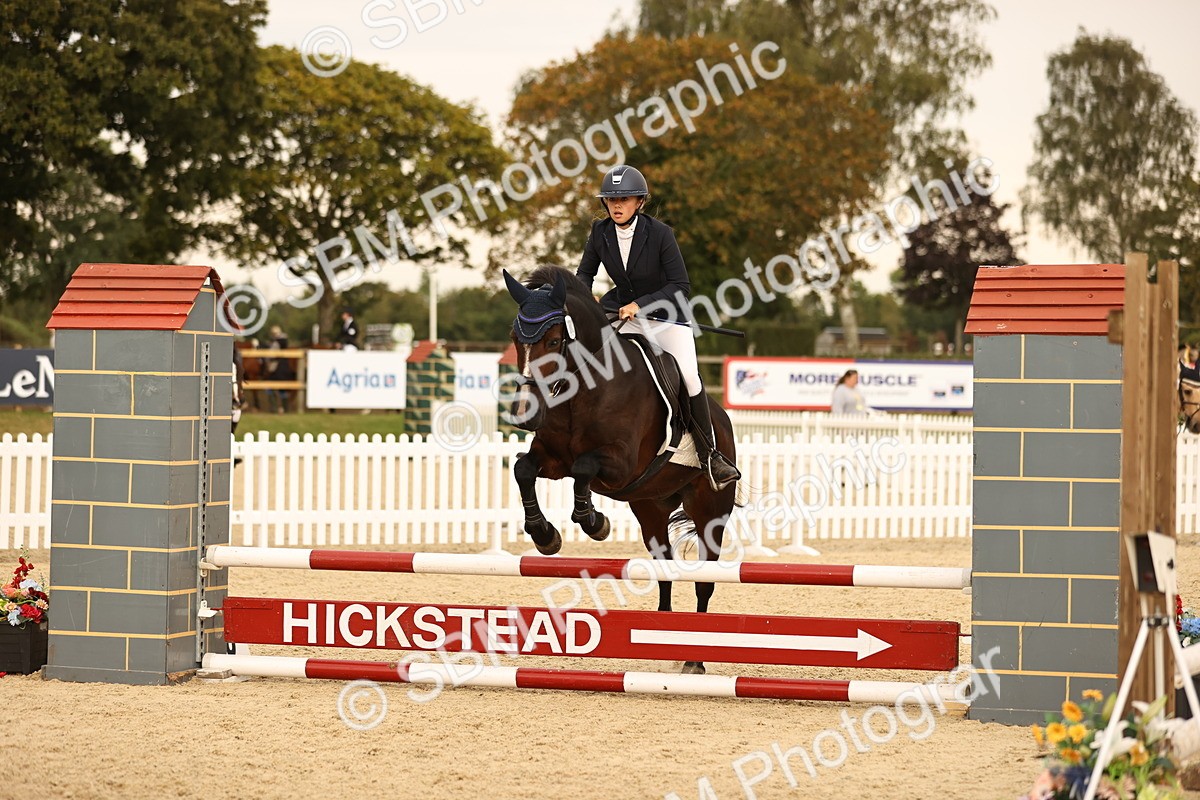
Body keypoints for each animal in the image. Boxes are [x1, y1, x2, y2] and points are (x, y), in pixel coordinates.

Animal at [501, 265, 740, 675]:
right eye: (516, 338)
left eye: (553, 340)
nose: (525, 416)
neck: (583, 387)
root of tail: (722, 419)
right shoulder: (552, 459)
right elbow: (523, 469)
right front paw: (545, 535)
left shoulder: (621, 464)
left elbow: (584, 467)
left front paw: (594, 522)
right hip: (650, 509)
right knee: (664, 568)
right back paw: (668, 639)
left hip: (711, 511)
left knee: (704, 579)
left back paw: (695, 658)